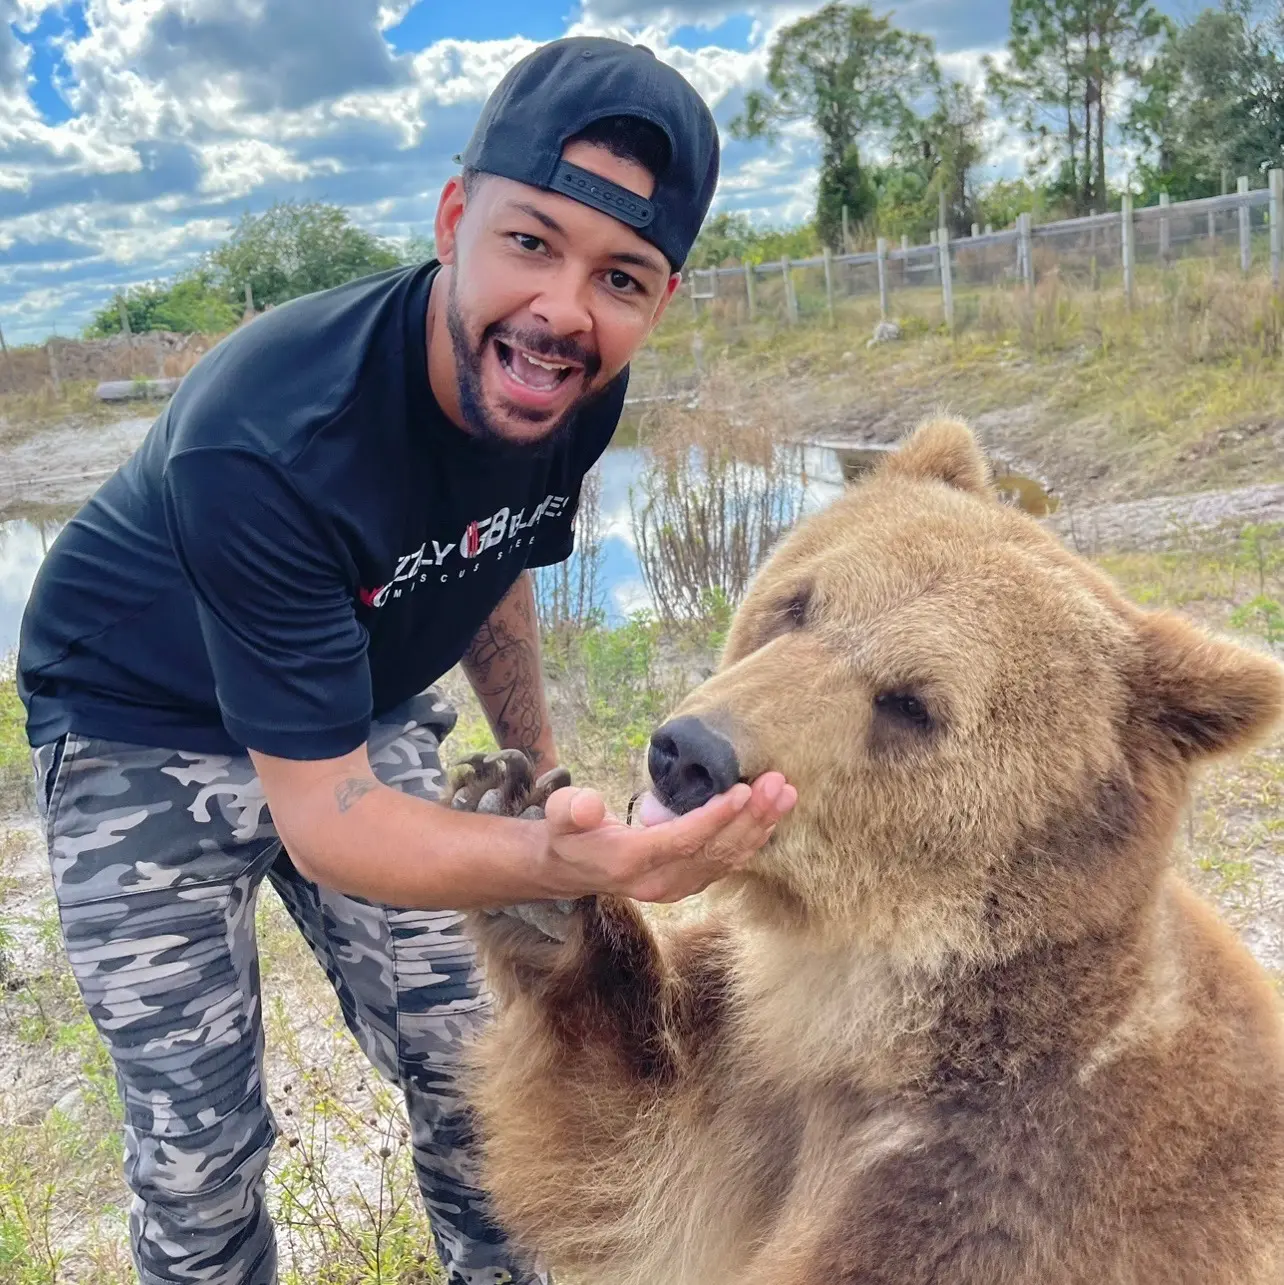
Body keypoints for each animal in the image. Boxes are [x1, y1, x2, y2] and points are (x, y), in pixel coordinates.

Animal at [453, 418, 1284, 1285]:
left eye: (911, 703)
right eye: (797, 602)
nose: (689, 755)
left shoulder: (1009, 1188)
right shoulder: (738, 1067)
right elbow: (624, 1167)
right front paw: (530, 858)